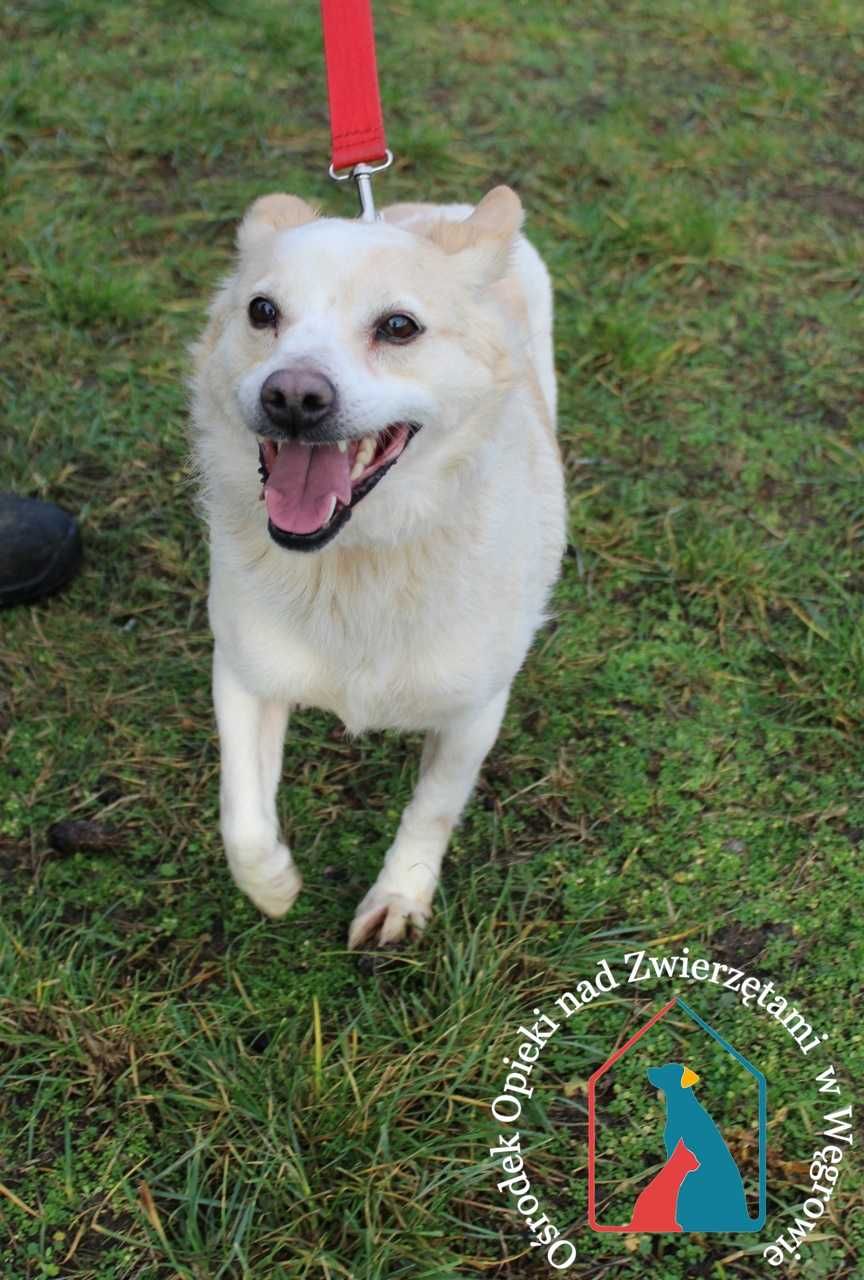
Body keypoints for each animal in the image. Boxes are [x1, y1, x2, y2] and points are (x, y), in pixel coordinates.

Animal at [189, 186, 563, 952]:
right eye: (261, 311)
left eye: (398, 327)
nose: (292, 397)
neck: (356, 559)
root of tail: (432, 203)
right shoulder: (242, 673)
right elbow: (242, 814)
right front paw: (273, 887)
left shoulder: (475, 710)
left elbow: (433, 809)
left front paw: (398, 898)